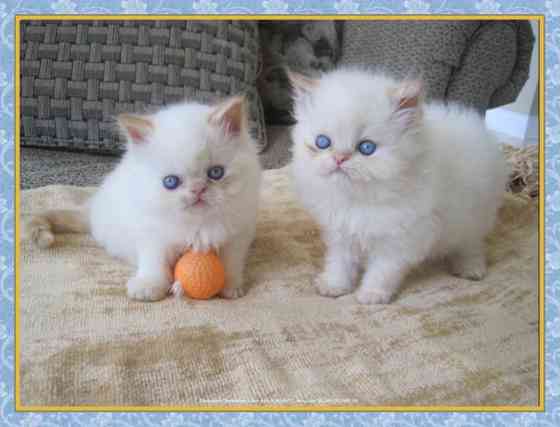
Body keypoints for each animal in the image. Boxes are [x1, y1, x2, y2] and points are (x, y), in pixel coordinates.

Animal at [26, 97, 262, 302]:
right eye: (170, 182)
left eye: (215, 173)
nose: (198, 190)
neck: (198, 225)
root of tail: (92, 208)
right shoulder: (152, 235)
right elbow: (154, 263)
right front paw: (148, 287)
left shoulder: (237, 235)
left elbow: (231, 262)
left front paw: (231, 286)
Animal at [288, 68, 508, 304]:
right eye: (322, 142)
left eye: (367, 147)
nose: (339, 158)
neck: (359, 201)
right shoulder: (341, 234)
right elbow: (340, 263)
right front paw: (335, 286)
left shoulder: (400, 240)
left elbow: (382, 270)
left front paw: (372, 294)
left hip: (473, 216)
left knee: (471, 244)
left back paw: (471, 268)